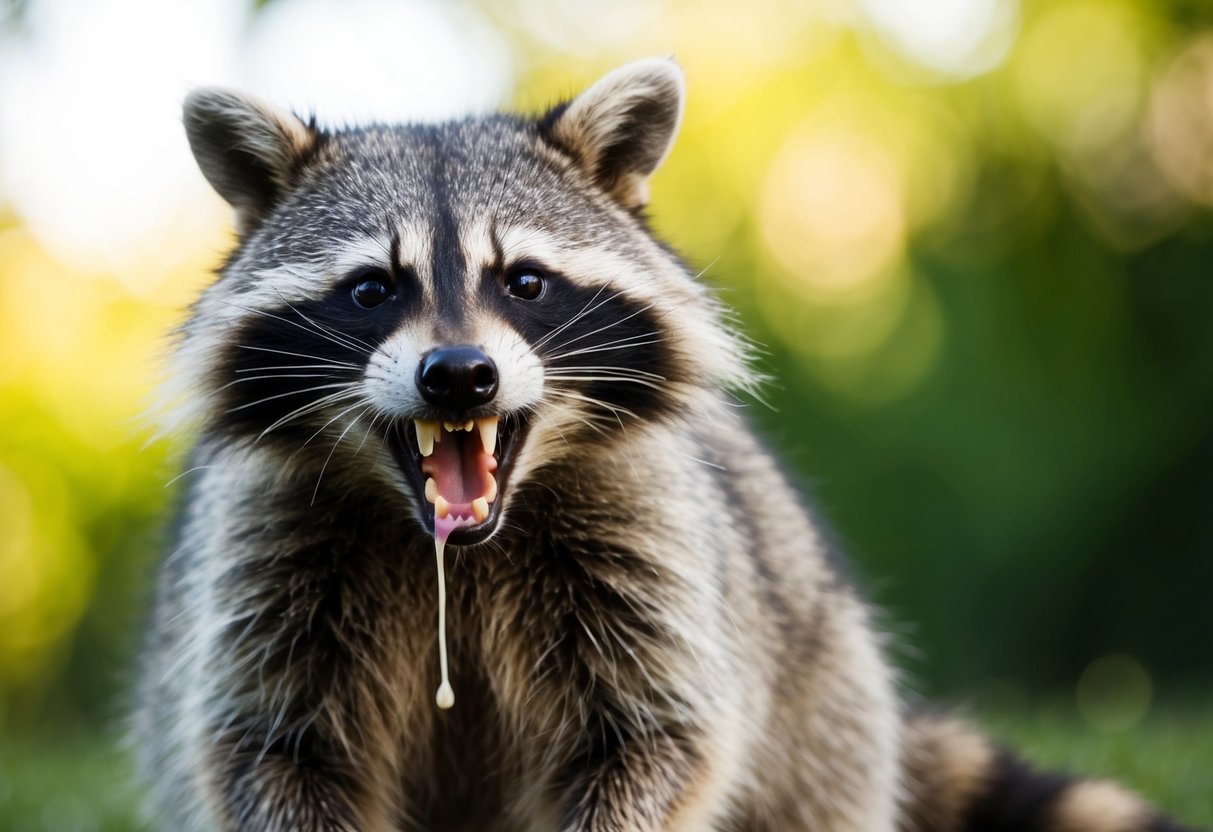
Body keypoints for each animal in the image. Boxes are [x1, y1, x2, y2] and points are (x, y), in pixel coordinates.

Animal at [136, 58, 1198, 832]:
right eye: (370, 290)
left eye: (524, 281)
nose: (459, 376)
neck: (455, 549)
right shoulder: (264, 562)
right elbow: (271, 751)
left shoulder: (650, 540)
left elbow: (657, 740)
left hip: (826, 712)